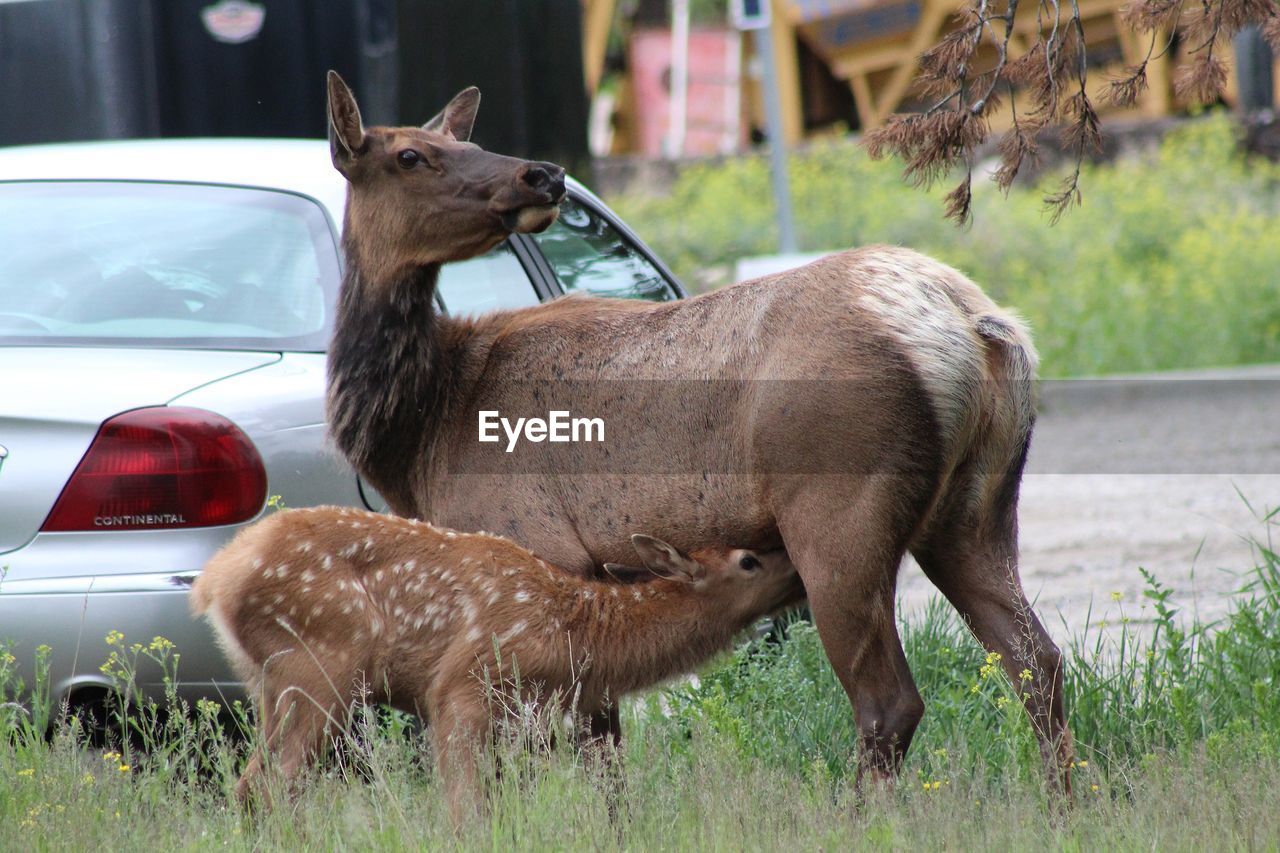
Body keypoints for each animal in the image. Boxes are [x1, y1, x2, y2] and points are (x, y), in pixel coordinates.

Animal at [192, 502, 798, 814]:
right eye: (748, 560)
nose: (796, 563)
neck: (572, 633)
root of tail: (216, 579)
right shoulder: (464, 684)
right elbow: (466, 809)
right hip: (320, 665)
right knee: (267, 785)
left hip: (270, 682)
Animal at [325, 71, 1075, 788]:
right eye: (411, 154)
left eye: (452, 144)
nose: (544, 174)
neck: (420, 435)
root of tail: (979, 327)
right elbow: (603, 742)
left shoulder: (536, 545)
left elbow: (561, 744)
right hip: (975, 507)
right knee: (1037, 659)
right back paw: (1063, 805)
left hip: (840, 519)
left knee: (889, 702)